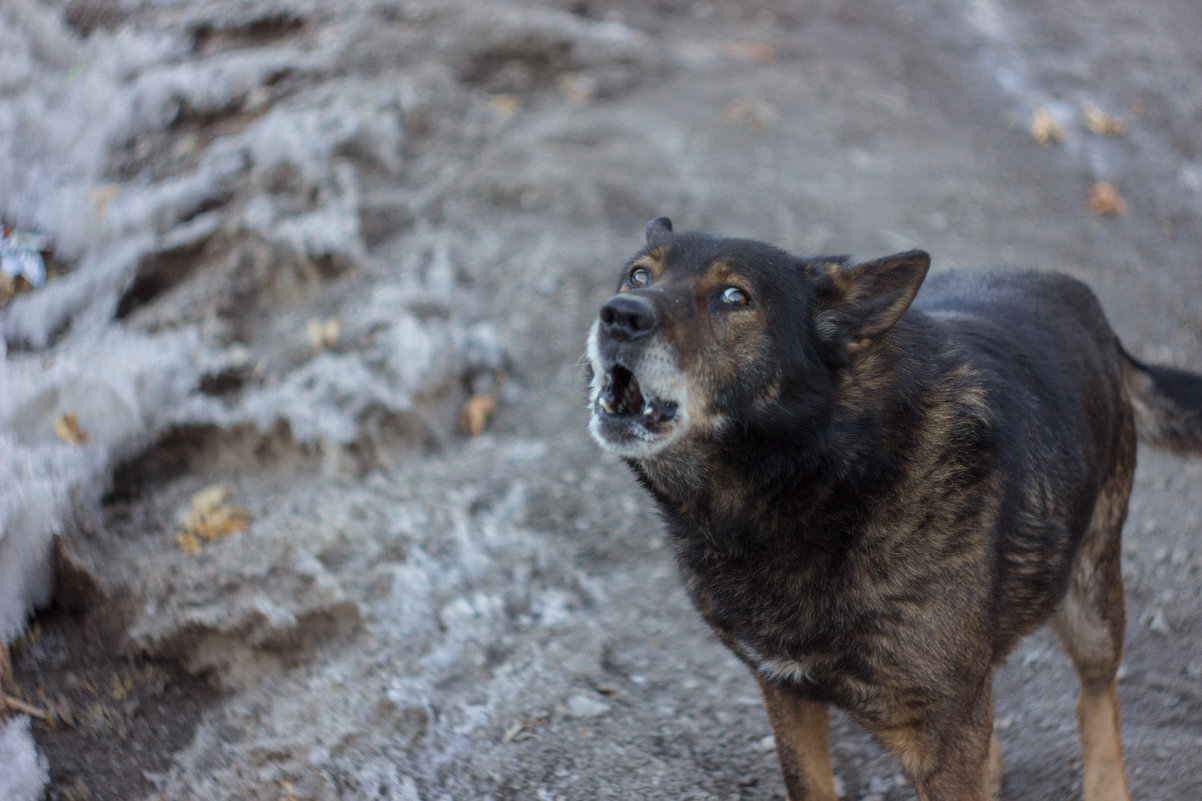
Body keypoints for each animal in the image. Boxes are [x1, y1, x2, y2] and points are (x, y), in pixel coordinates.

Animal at [584, 216, 1202, 798]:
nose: (617, 316)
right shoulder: (787, 691)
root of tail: (1077, 295)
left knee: (1096, 696)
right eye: (639, 275)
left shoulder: (944, 735)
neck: (817, 482)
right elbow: (810, 785)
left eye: (735, 297)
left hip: (1090, 597)